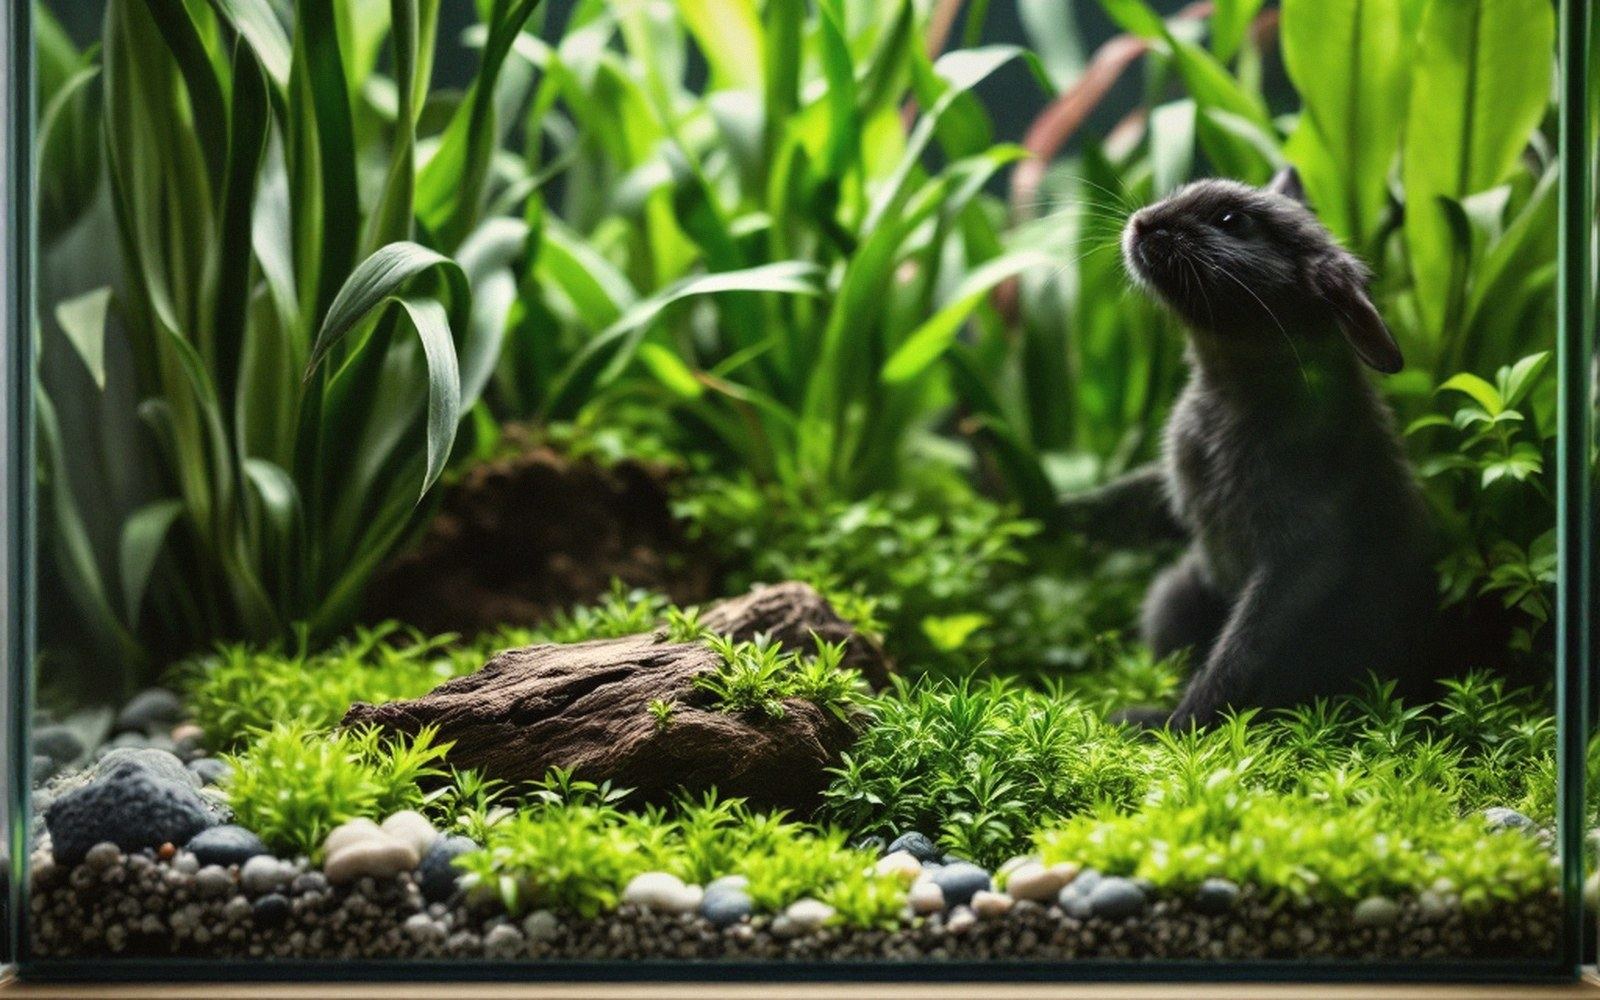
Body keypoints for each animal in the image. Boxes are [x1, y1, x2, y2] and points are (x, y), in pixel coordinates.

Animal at [1073, 167, 1439, 729]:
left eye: (1232, 221)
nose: (1142, 223)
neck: (1231, 389)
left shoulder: (1297, 560)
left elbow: (1241, 652)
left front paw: (1179, 724)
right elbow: (1128, 498)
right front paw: (1056, 513)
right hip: (1175, 591)